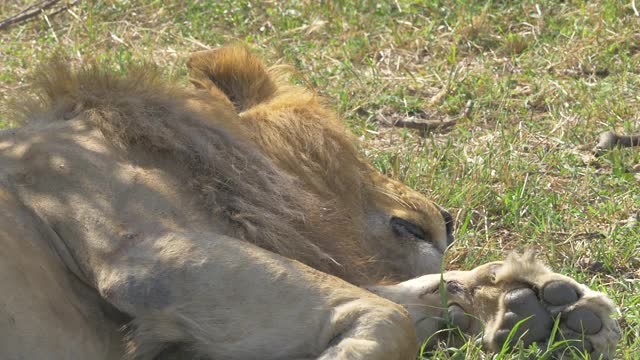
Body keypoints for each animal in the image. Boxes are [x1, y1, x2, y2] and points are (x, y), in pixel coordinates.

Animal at [0, 46, 620, 358]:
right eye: (350, 144)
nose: (447, 219)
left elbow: (403, 296)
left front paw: (532, 303)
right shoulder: (145, 251)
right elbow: (389, 315)